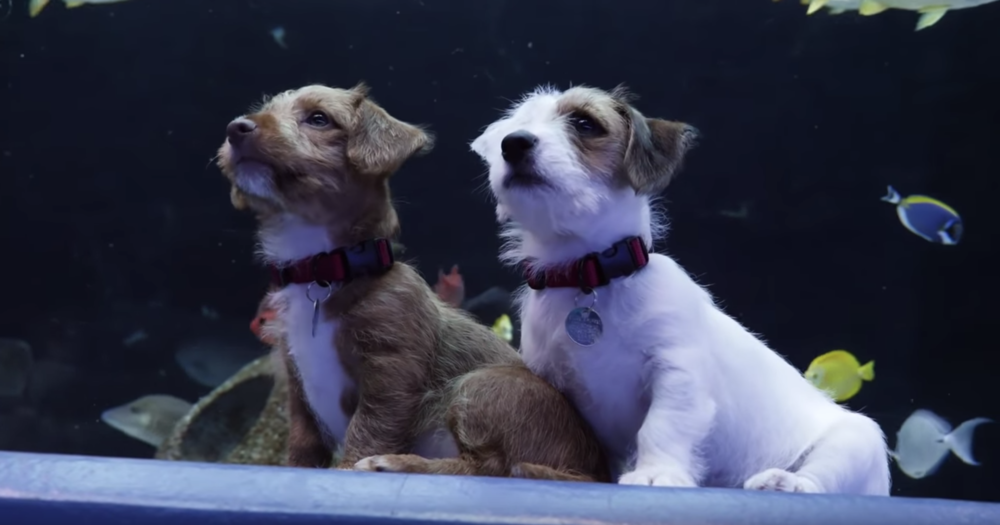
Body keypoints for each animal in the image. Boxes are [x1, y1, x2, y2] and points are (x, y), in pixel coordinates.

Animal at [217, 84, 608, 482]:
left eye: (318, 119)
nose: (236, 128)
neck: (323, 272)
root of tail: (588, 471)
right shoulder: (296, 383)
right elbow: (302, 443)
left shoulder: (391, 371)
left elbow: (369, 427)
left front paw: (352, 466)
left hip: (481, 386)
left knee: (486, 466)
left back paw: (396, 462)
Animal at [468, 84, 892, 494]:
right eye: (514, 127)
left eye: (585, 124)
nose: (513, 143)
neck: (589, 274)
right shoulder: (551, 380)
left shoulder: (677, 372)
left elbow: (661, 426)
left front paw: (655, 473)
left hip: (855, 442)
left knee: (823, 479)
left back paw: (785, 482)